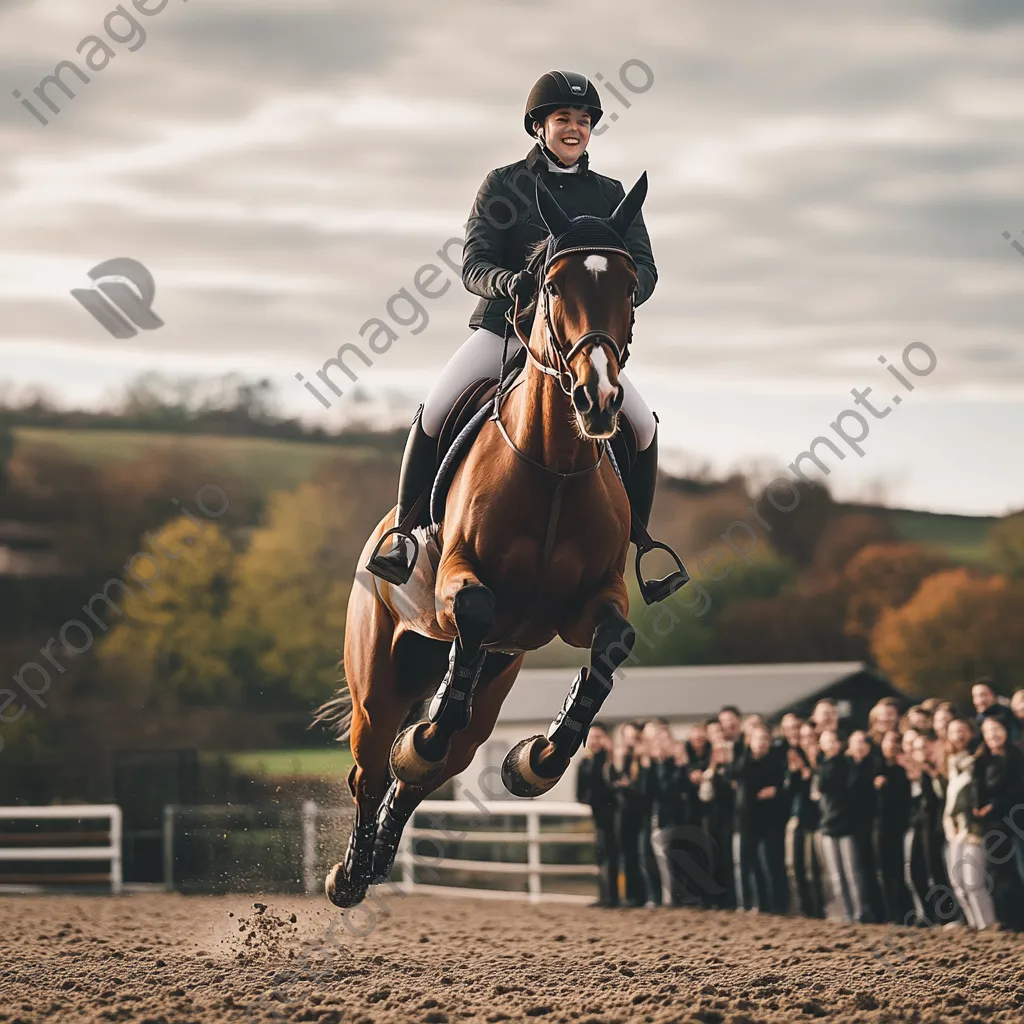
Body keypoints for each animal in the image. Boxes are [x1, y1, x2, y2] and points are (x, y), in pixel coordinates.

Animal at [323, 172, 684, 909]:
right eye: (552, 285)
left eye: (629, 284)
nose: (599, 399)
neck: (553, 466)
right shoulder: (463, 580)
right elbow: (477, 609)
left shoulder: (589, 602)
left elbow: (610, 647)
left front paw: (536, 762)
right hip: (377, 681)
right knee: (374, 765)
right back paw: (352, 871)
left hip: (493, 683)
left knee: (435, 764)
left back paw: (388, 841)